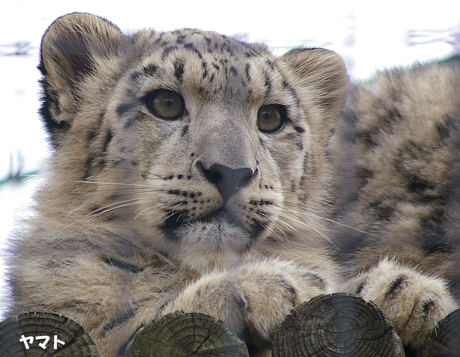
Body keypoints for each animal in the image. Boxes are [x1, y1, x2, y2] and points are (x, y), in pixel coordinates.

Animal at [4, 11, 460, 356]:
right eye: (165, 103)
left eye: (271, 117)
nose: (231, 171)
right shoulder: (76, 323)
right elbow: (138, 322)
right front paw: (279, 285)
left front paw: (407, 293)